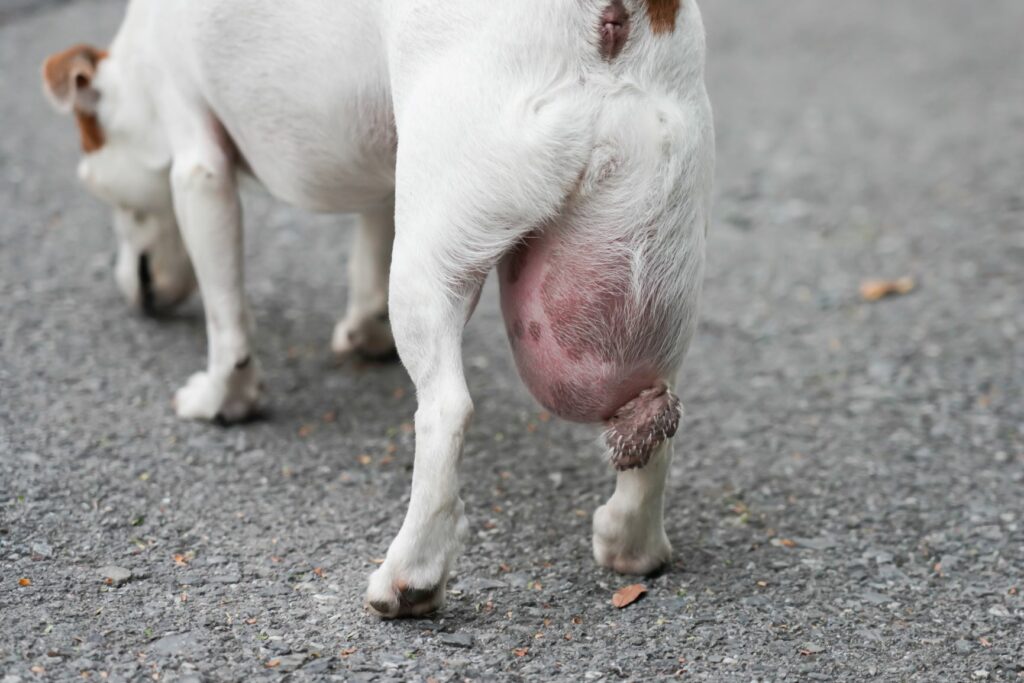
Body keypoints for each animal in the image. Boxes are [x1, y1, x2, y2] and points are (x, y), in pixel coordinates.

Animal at [41, 0, 712, 618]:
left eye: (93, 180)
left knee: (446, 411)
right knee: (654, 410)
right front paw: (363, 334)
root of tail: (615, 18)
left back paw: (411, 576)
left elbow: (227, 319)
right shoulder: (387, 168)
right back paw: (631, 544)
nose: (129, 289)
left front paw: (223, 400)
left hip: (428, 267)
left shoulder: (198, 164)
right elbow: (368, 240)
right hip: (648, 284)